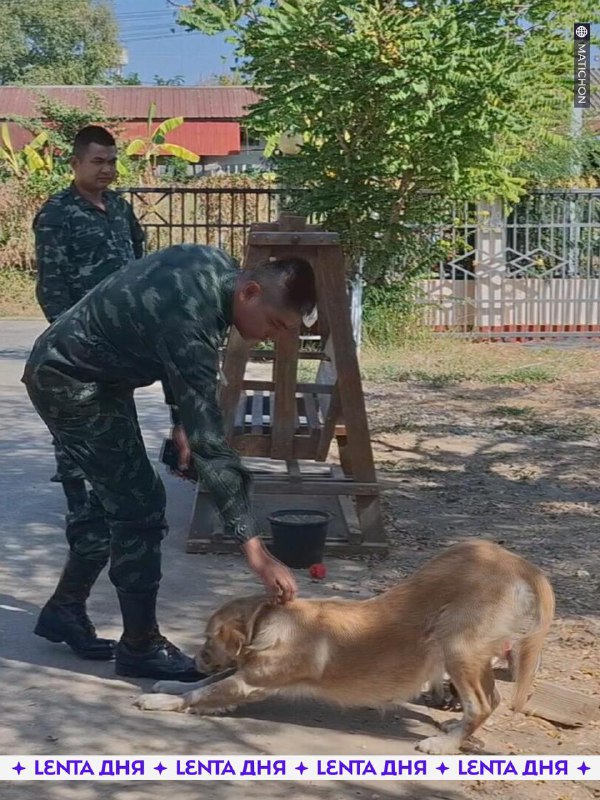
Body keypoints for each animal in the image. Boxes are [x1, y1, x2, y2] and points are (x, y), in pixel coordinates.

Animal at [135, 536, 552, 756]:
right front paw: (171, 683)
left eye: (208, 638)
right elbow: (202, 685)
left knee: (482, 703)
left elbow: (203, 692)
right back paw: (455, 727)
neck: (269, 620)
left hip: (458, 647)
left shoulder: (248, 682)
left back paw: (443, 744)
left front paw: (160, 700)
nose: (194, 659)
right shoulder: (244, 670)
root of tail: (519, 564)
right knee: (491, 699)